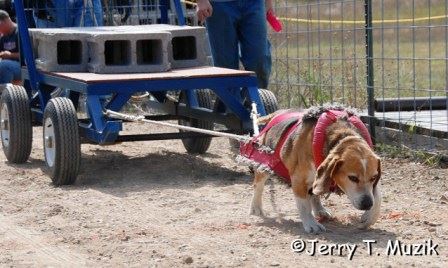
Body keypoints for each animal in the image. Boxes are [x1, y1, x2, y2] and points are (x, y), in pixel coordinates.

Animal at [240, 105, 384, 233]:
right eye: (352, 178)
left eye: (373, 177)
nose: (367, 204)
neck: (342, 136)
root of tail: (278, 113)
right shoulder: (298, 179)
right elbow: (304, 205)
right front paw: (311, 224)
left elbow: (377, 196)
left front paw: (369, 217)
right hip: (264, 164)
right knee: (258, 185)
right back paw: (256, 207)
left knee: (314, 193)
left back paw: (320, 209)